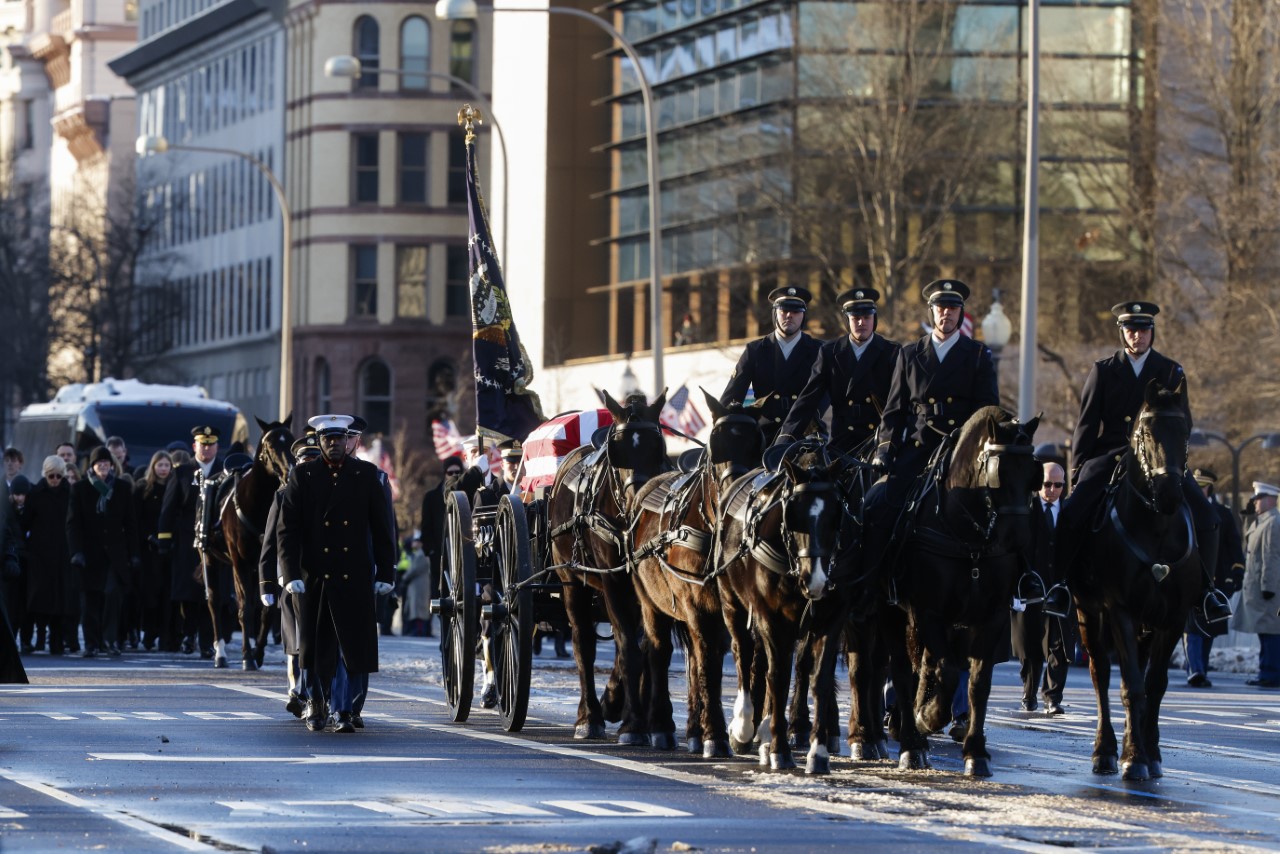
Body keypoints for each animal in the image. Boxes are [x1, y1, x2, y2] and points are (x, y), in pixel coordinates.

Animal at [211, 417, 293, 670]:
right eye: (270, 445)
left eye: (292, 439)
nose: (290, 473)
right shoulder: (241, 562)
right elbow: (245, 608)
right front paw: (247, 655)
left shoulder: (270, 561)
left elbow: (267, 608)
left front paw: (258, 652)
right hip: (211, 558)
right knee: (214, 601)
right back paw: (220, 653)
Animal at [545, 391, 670, 742]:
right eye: (618, 451)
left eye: (658, 448)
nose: (640, 499)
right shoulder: (614, 584)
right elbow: (628, 645)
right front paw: (633, 723)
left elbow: (647, 645)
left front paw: (640, 713)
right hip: (571, 580)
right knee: (582, 642)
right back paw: (589, 716)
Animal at [632, 391, 768, 752]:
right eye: (715, 445)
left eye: (757, 444)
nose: (737, 494)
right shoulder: (696, 605)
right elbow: (708, 662)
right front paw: (717, 734)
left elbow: (743, 657)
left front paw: (740, 728)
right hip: (651, 604)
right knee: (659, 650)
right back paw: (661, 726)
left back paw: (694, 728)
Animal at [890, 407, 1039, 773]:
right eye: (999, 474)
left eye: (1034, 475)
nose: (1017, 539)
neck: (970, 539)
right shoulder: (927, 611)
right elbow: (945, 671)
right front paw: (927, 717)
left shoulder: (993, 615)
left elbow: (978, 682)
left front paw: (975, 750)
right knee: (903, 669)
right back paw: (910, 737)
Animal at [1070, 381, 1198, 783]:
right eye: (1146, 432)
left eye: (1185, 431)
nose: (1171, 494)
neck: (1156, 527)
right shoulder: (1119, 610)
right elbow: (1131, 686)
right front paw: (1135, 758)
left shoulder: (1173, 617)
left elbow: (1153, 686)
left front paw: (1149, 754)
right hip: (1088, 612)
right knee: (1100, 673)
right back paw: (1106, 751)